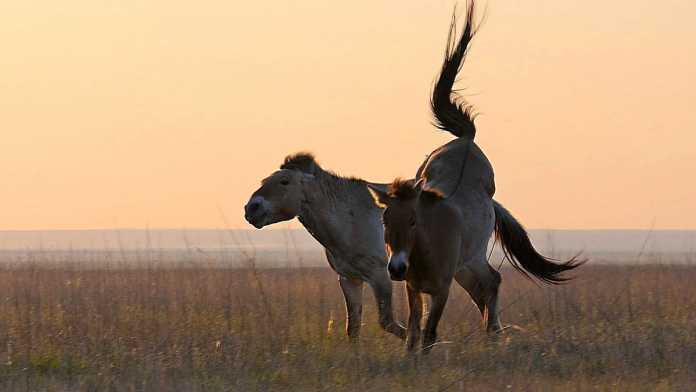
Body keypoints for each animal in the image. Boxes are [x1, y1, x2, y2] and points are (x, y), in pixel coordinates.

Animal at [245, 153, 408, 340]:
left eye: (284, 181)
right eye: (264, 181)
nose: (251, 208)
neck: (352, 220)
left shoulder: (380, 276)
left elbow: (389, 322)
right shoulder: (350, 279)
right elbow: (353, 327)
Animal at [368, 2, 584, 352]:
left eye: (413, 220)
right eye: (385, 220)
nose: (396, 267)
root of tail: (468, 138)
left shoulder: (441, 289)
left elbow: (429, 334)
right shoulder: (414, 289)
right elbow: (413, 334)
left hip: (470, 261)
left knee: (491, 282)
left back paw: (493, 333)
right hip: (467, 265)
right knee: (485, 286)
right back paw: (493, 333)